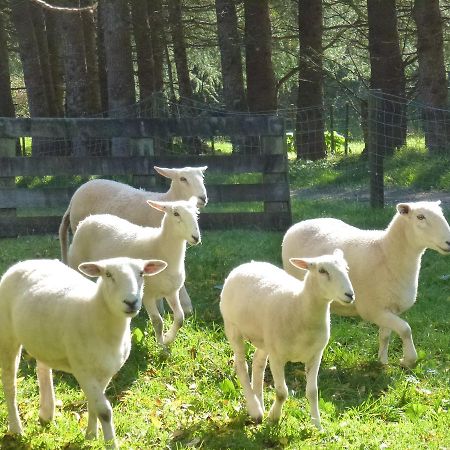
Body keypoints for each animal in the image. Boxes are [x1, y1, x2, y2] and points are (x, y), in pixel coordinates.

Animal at [0, 255, 167, 448]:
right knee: (10, 384)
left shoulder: (106, 371)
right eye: (108, 274)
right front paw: (110, 444)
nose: (131, 302)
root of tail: (27, 262)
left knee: (42, 368)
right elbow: (104, 410)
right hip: (7, 334)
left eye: (141, 273)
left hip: (42, 338)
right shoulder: (83, 370)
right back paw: (16, 428)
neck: (94, 311)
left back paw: (46, 414)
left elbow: (93, 404)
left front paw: (91, 436)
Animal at [67, 199, 200, 350]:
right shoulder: (147, 295)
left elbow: (180, 318)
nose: (196, 237)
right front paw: (161, 347)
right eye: (176, 213)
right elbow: (158, 321)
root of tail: (89, 219)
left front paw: (167, 338)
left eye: (196, 213)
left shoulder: (171, 292)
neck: (160, 247)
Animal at [220, 250, 354, 428]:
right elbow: (281, 392)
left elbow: (312, 392)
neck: (299, 305)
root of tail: (247, 264)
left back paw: (260, 403)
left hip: (265, 339)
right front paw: (274, 418)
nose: (350, 294)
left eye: (347, 269)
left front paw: (317, 425)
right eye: (322, 271)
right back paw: (255, 409)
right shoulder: (277, 357)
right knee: (240, 365)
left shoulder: (315, 355)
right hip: (232, 326)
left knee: (258, 363)